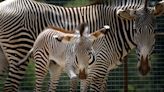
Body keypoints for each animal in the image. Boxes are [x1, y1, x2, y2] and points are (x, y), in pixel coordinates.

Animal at [0, 0, 163, 91]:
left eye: (155, 31)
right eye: (135, 30)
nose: (144, 68)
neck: (115, 31)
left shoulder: (102, 69)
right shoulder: (99, 68)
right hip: (20, 50)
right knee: (10, 86)